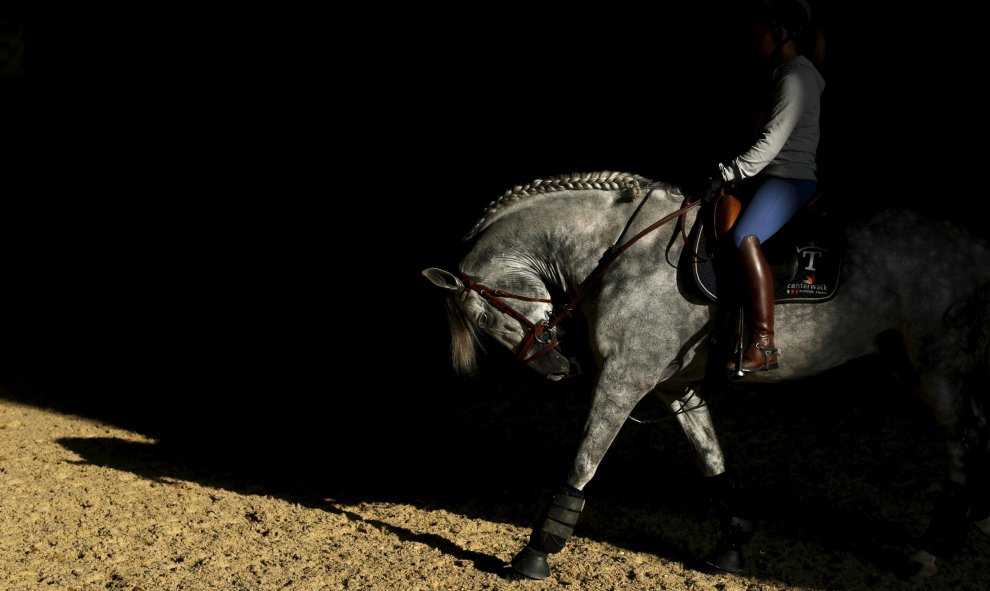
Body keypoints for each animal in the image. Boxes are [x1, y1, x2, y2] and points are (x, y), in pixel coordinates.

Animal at [420, 171, 990, 584]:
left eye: (484, 319)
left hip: (937, 362)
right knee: (975, 433)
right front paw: (732, 546)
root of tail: (973, 242)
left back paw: (928, 553)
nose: (558, 370)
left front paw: (534, 554)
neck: (619, 252)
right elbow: (712, 460)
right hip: (907, 365)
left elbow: (583, 462)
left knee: (962, 445)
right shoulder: (674, 386)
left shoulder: (623, 380)